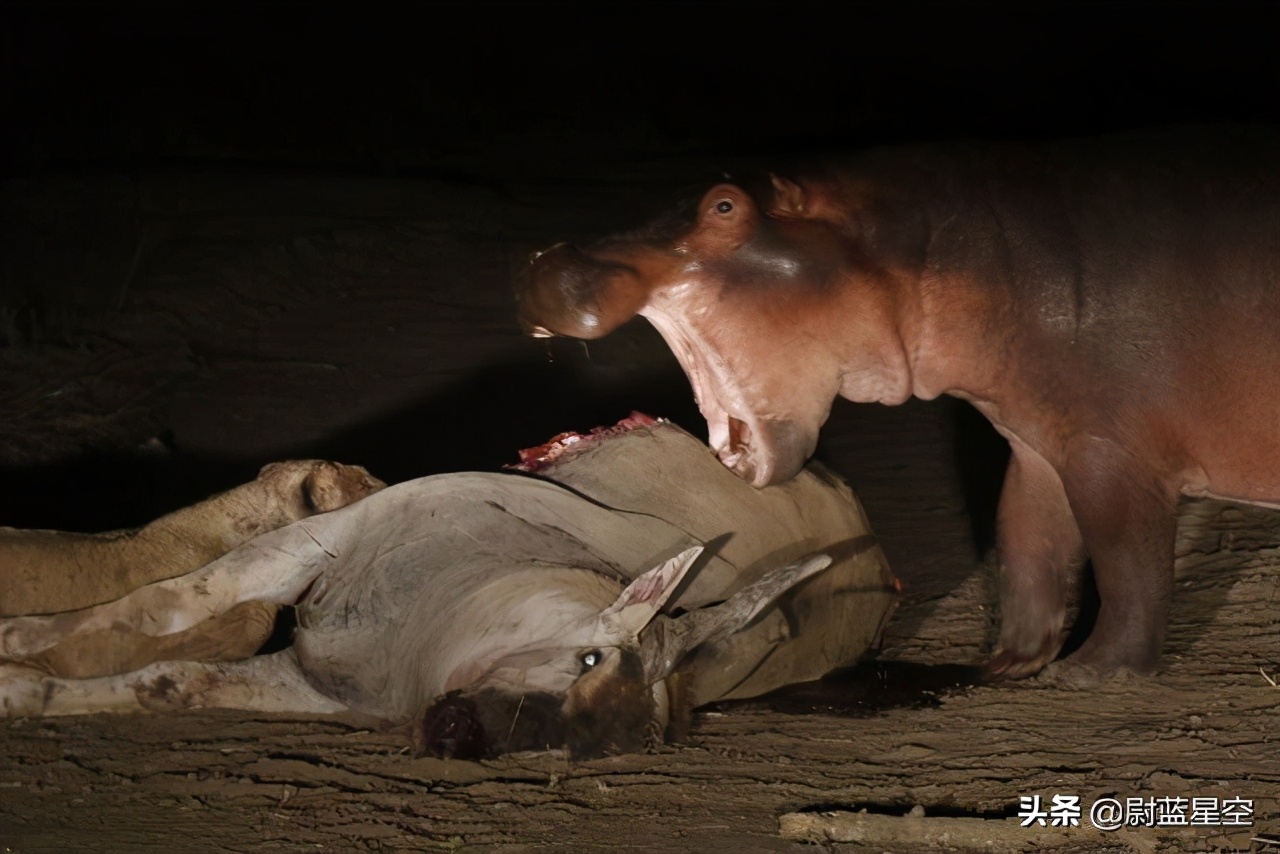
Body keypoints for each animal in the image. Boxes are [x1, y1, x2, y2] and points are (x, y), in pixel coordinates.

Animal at [517, 126, 1280, 686]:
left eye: (725, 206)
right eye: (678, 192)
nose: (549, 259)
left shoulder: (1108, 450)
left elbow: (1126, 559)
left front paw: (1092, 673)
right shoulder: (1034, 442)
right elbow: (1026, 544)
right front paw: (1004, 665)